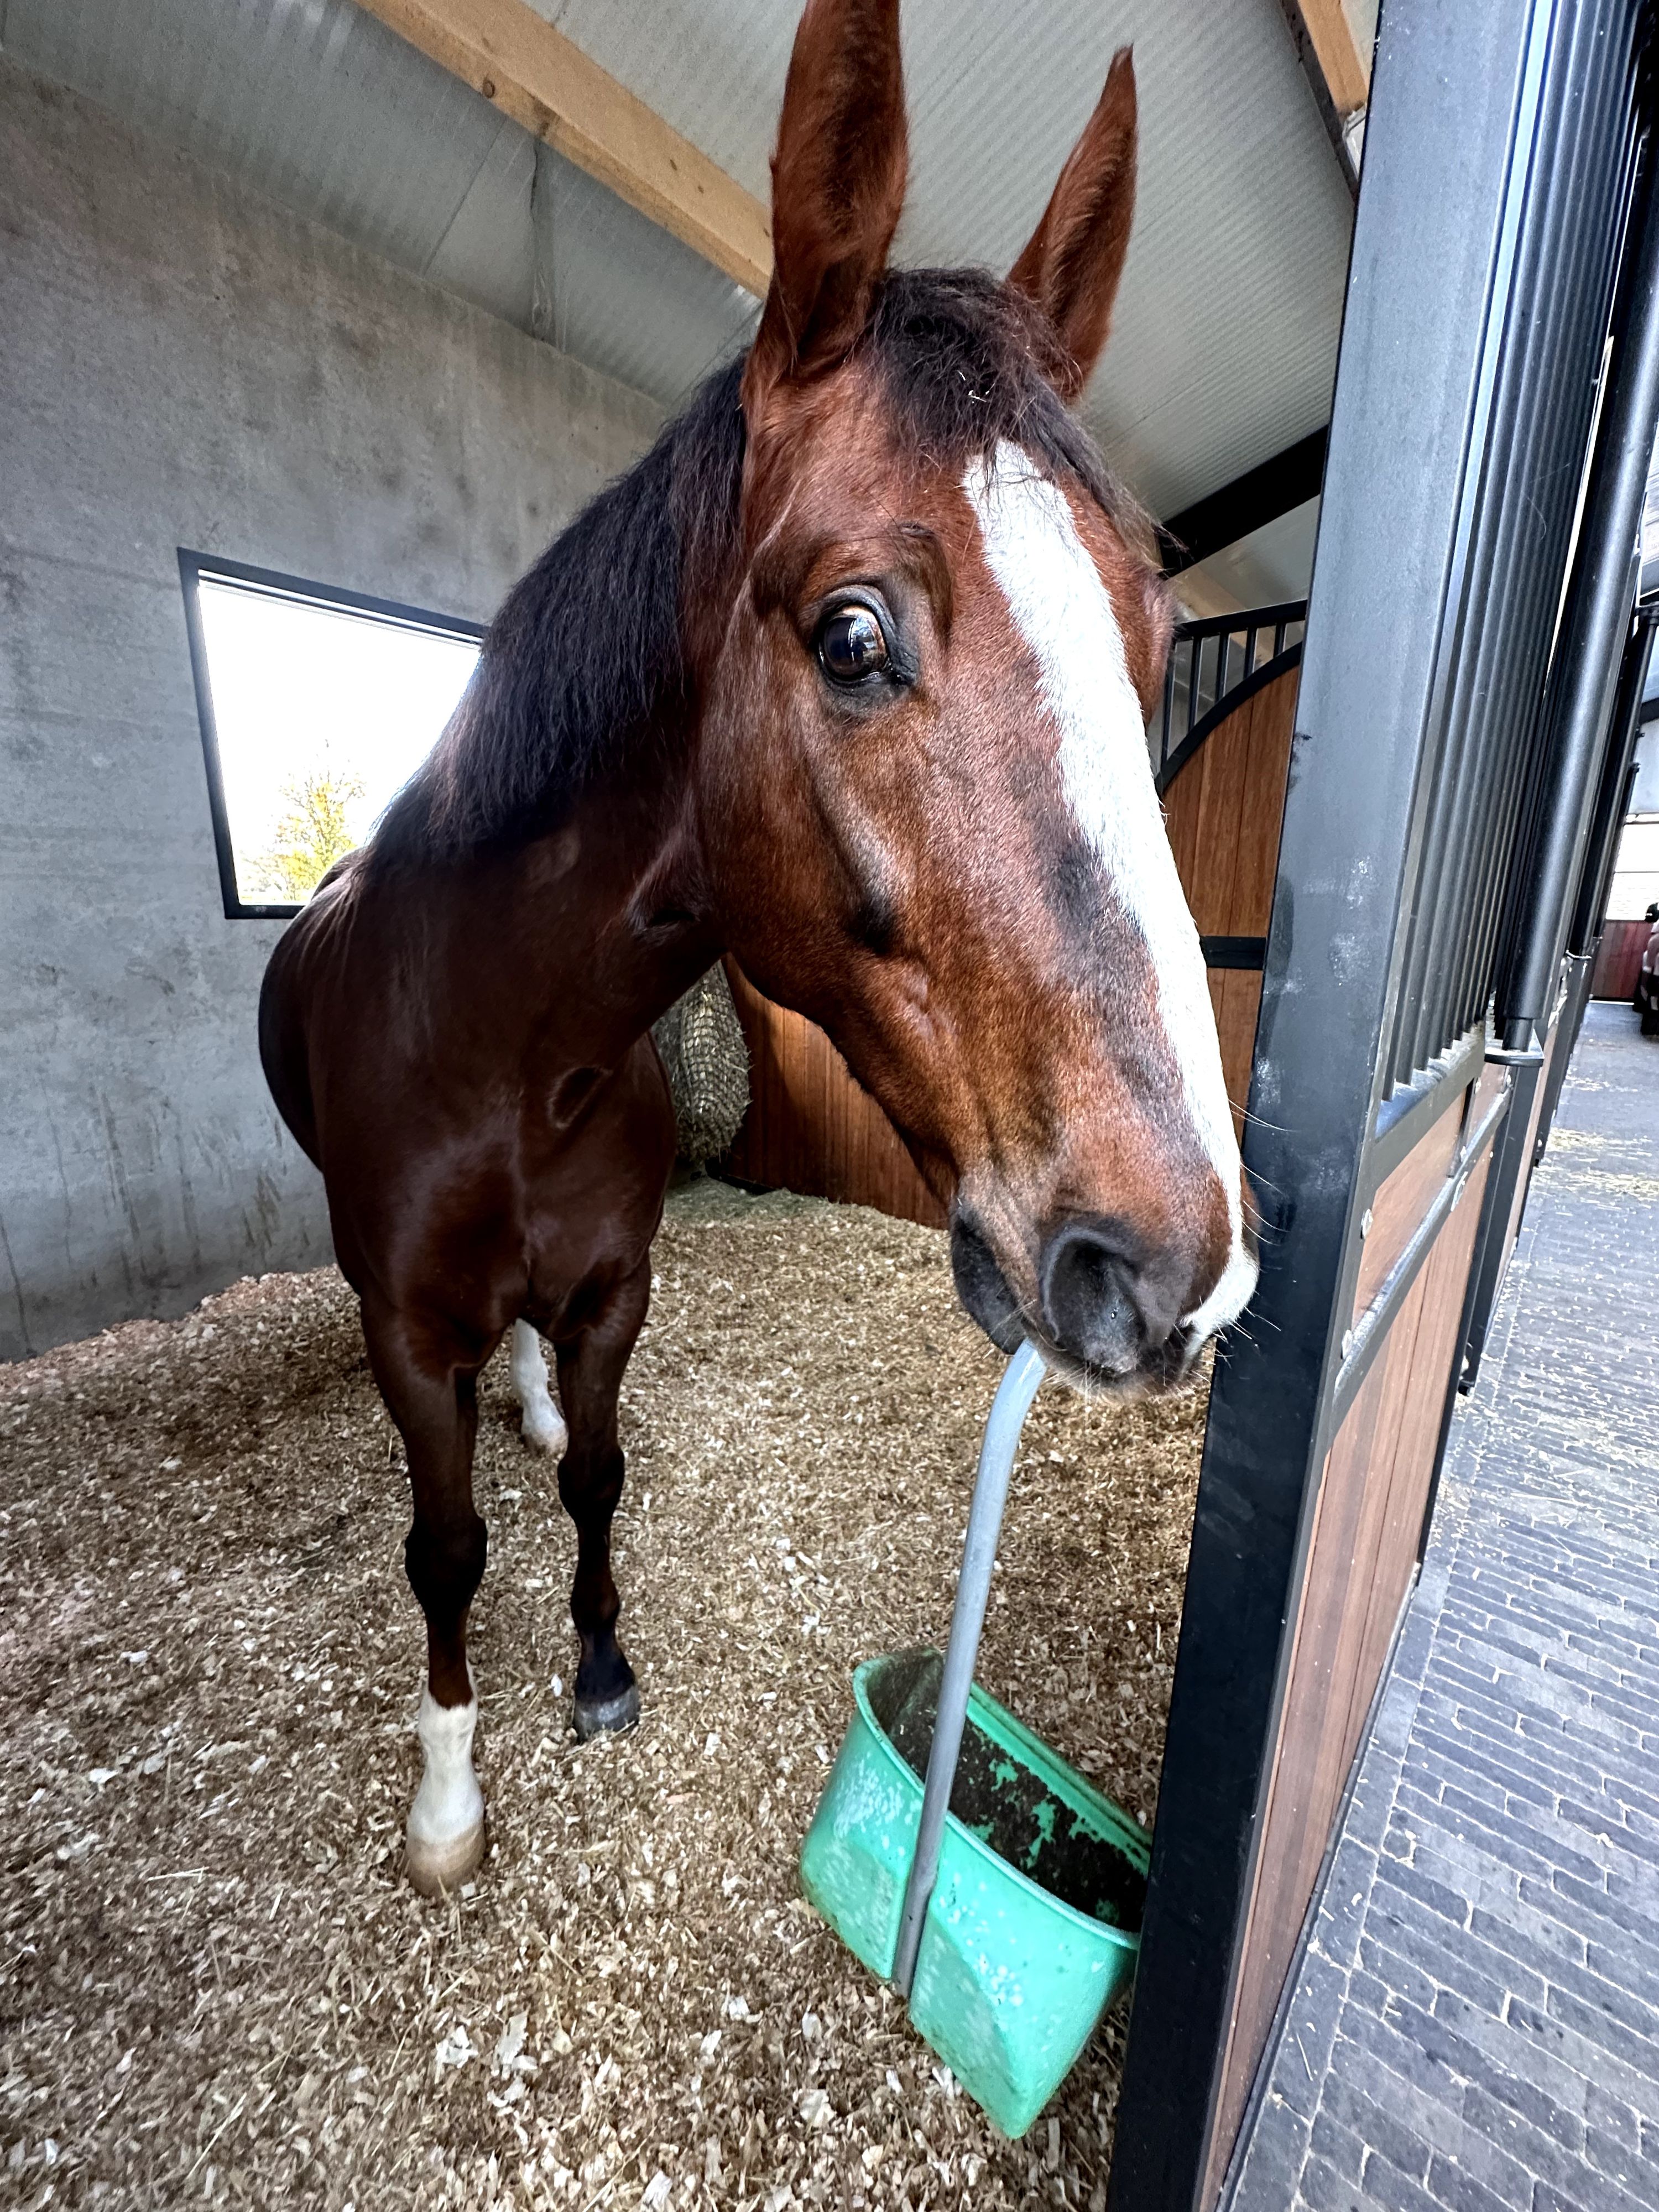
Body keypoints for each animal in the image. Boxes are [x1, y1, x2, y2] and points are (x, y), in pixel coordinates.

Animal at [259, 0, 1257, 1896]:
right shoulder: (401, 1331)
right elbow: (444, 1550)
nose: (1179, 1273)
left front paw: (597, 1664)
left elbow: (595, 1484)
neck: (511, 1051)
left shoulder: (614, 1288)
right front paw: (446, 1801)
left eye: (1162, 638)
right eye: (852, 633)